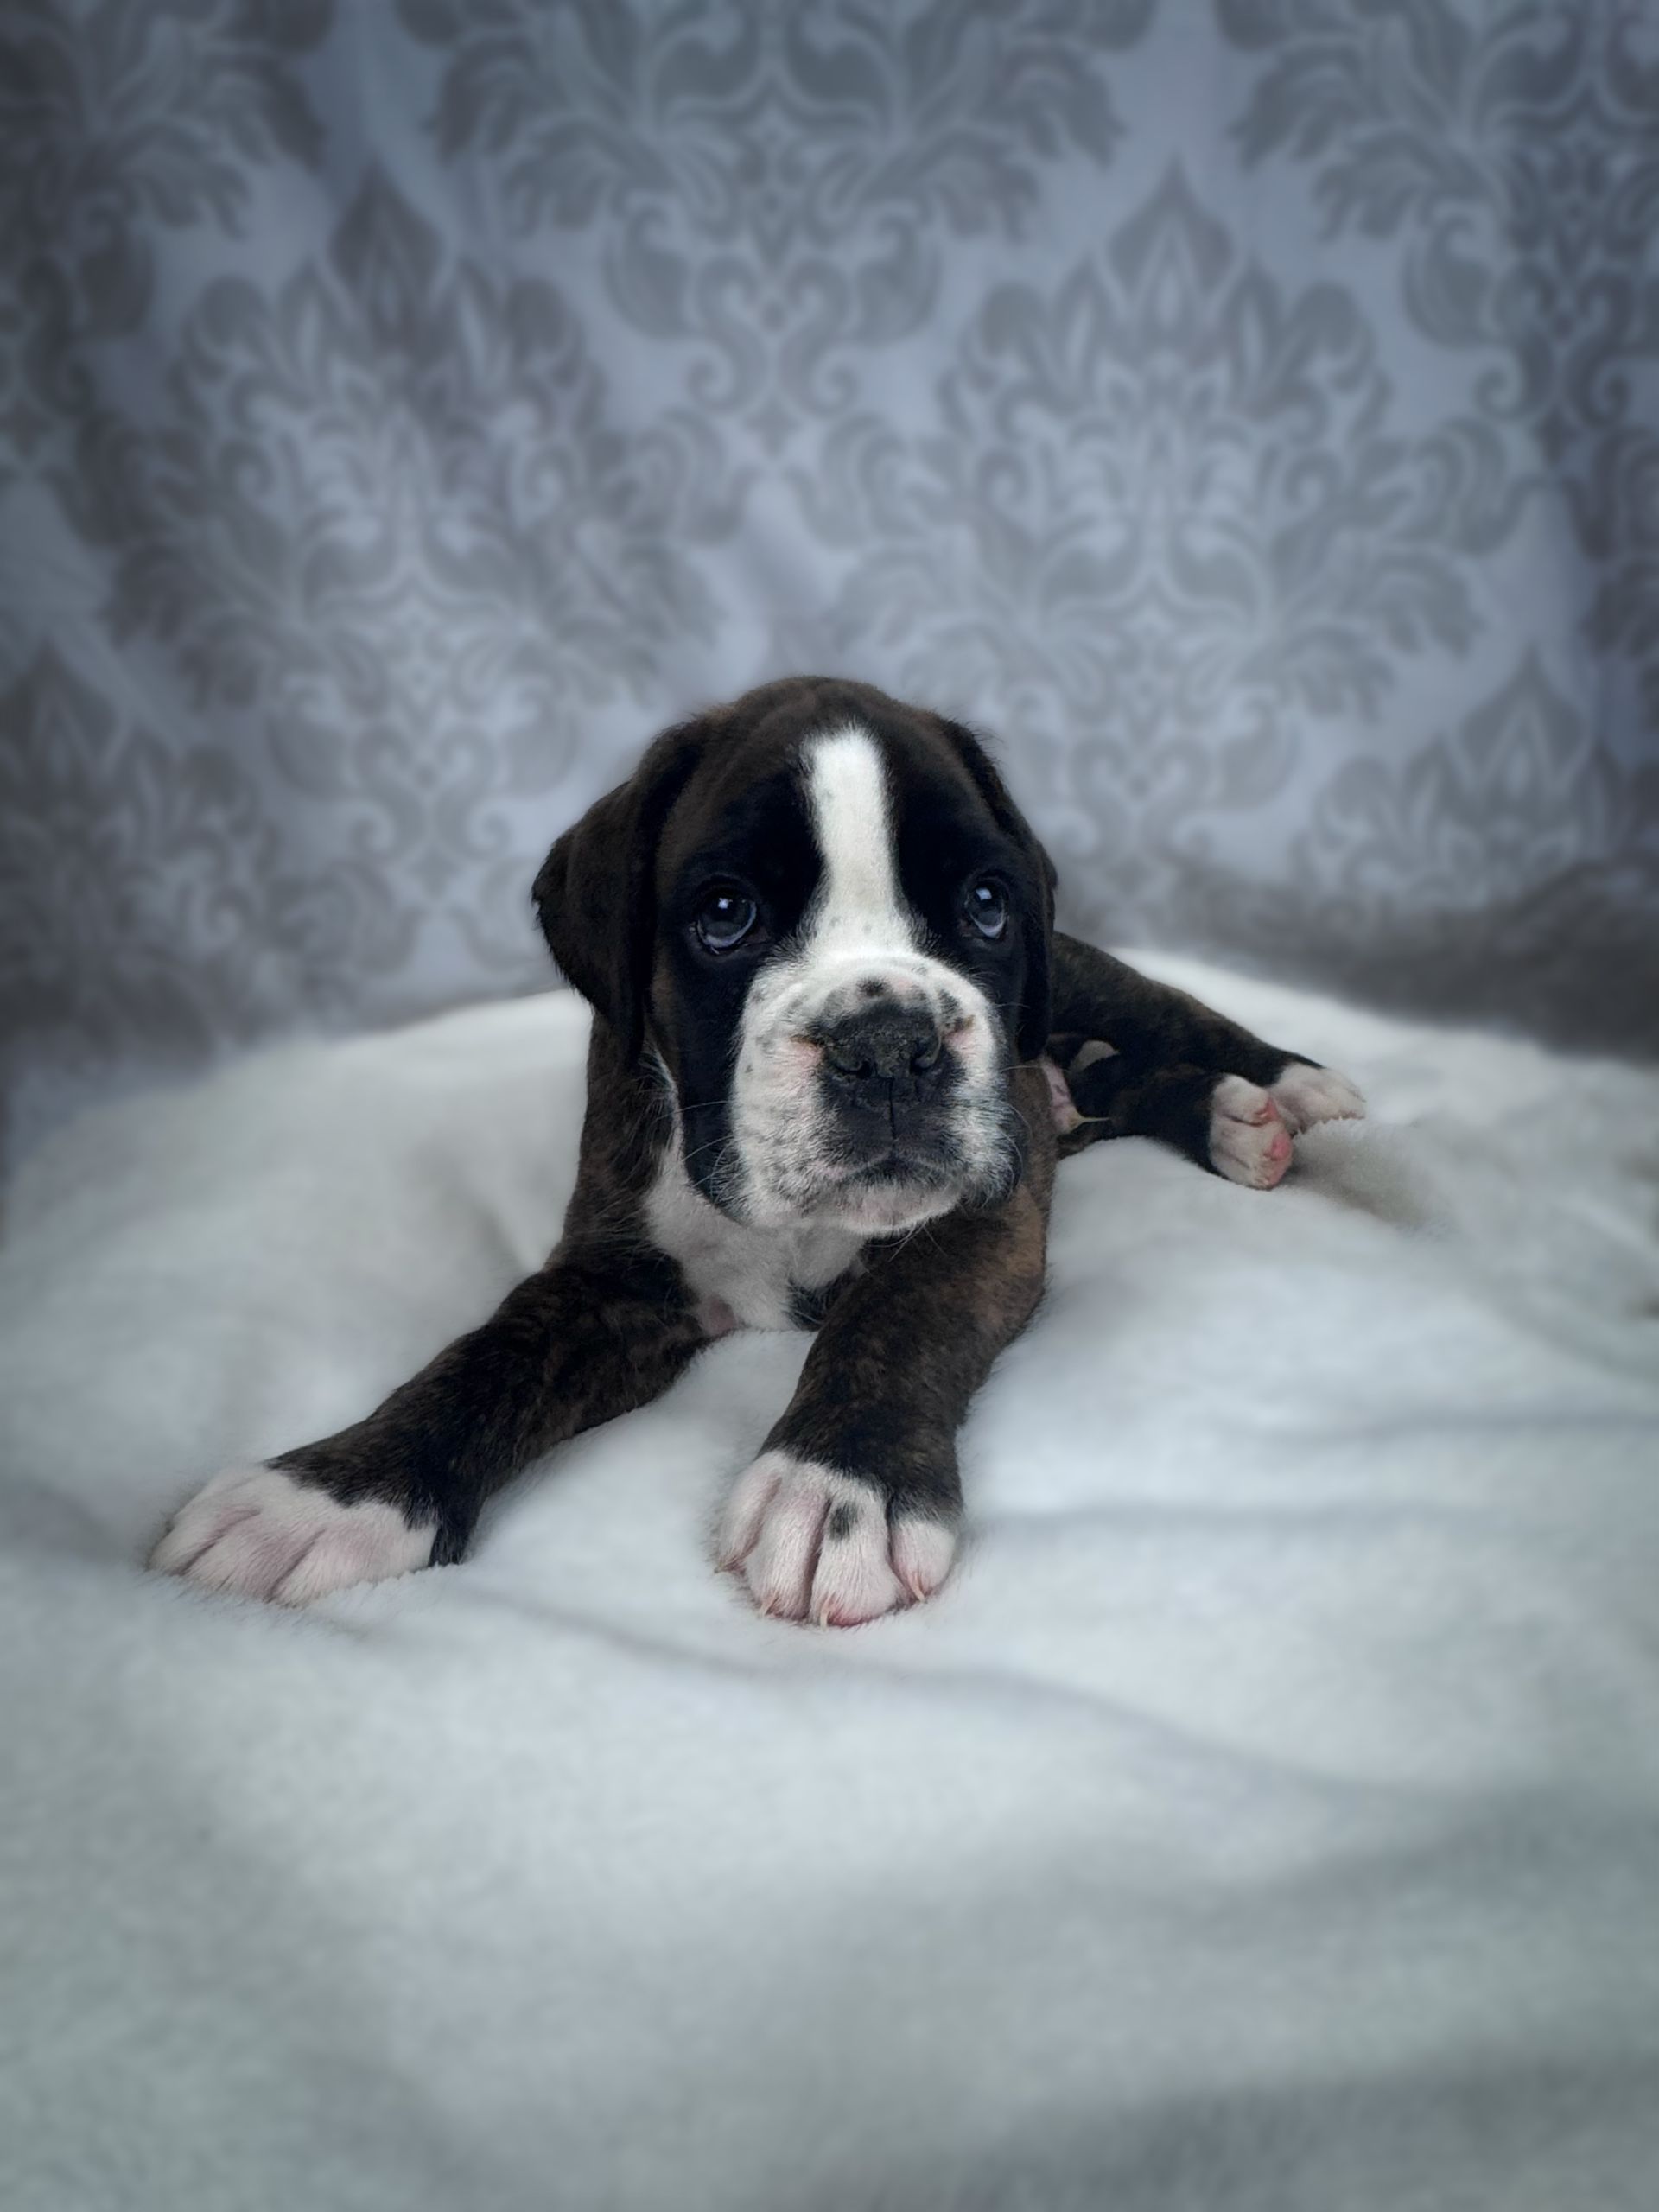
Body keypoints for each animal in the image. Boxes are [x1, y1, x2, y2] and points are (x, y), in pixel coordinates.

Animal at [151, 677, 1363, 1625]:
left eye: (984, 903)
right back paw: (1227, 1117)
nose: (891, 1046)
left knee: (1167, 1016)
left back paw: (1281, 1090)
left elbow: (896, 1317)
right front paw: (330, 1491)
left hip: (1078, 977)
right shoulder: (618, 1275)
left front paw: (839, 1490)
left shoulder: (981, 1217)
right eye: (725, 913)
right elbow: (487, 1355)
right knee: (1115, 1076)